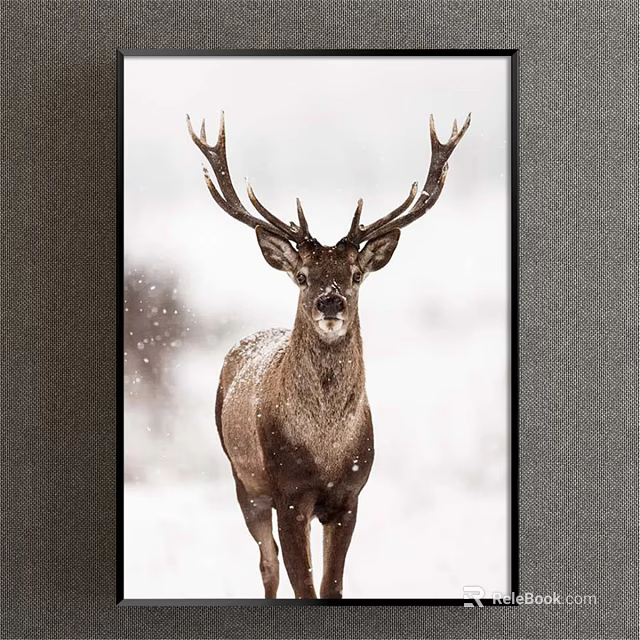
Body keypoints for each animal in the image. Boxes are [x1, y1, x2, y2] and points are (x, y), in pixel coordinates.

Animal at [187, 111, 470, 599]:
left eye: (355, 274)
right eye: (302, 275)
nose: (330, 301)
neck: (325, 449)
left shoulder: (350, 494)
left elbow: (331, 585)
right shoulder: (288, 493)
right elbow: (303, 586)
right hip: (243, 478)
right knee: (267, 564)